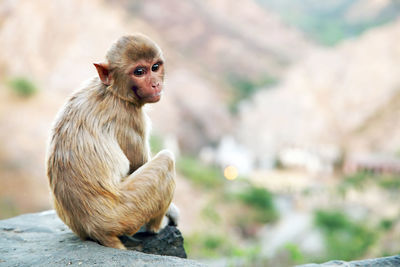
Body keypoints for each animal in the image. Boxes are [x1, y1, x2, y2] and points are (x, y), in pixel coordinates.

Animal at [45, 34, 180, 250]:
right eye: (139, 72)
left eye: (155, 67)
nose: (155, 84)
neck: (113, 91)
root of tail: (95, 229)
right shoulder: (131, 118)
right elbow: (137, 166)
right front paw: (172, 211)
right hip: (126, 213)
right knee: (166, 159)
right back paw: (154, 228)